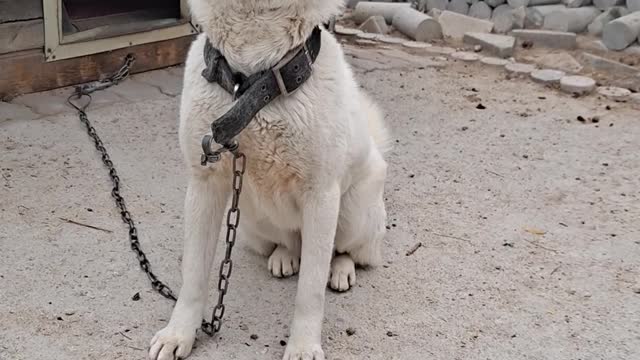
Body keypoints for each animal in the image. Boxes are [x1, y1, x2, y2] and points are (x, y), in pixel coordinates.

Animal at [149, 1, 390, 358]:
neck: (251, 83)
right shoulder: (205, 183)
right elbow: (192, 276)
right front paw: (178, 334)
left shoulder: (321, 196)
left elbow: (310, 291)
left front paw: (303, 346)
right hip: (253, 221)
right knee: (286, 241)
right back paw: (285, 256)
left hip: (352, 214)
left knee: (348, 251)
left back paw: (341, 269)